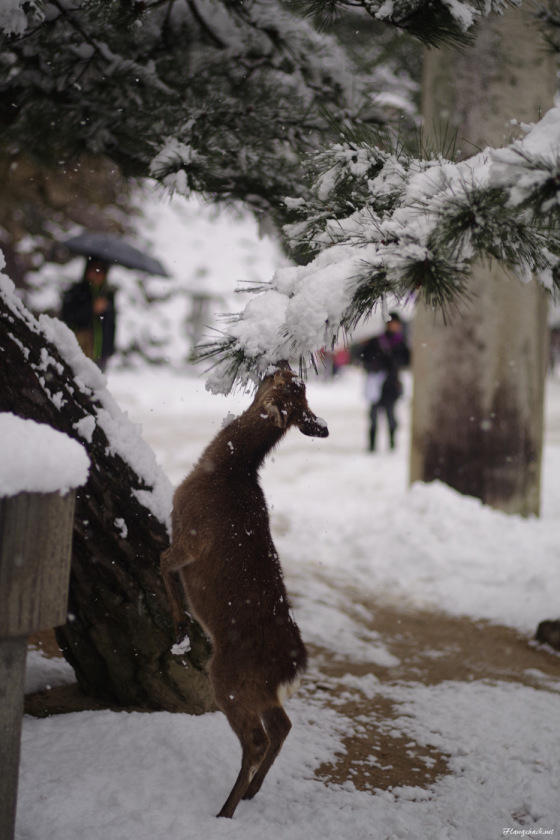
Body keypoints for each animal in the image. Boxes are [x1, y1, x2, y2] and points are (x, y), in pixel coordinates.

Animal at [160, 364, 328, 816]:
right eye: (296, 387)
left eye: (284, 383)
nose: (278, 364)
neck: (220, 470)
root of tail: (292, 668)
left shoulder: (190, 534)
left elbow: (161, 562)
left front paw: (179, 624)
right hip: (260, 690)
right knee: (284, 725)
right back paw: (252, 791)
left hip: (229, 678)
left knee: (257, 739)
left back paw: (225, 810)